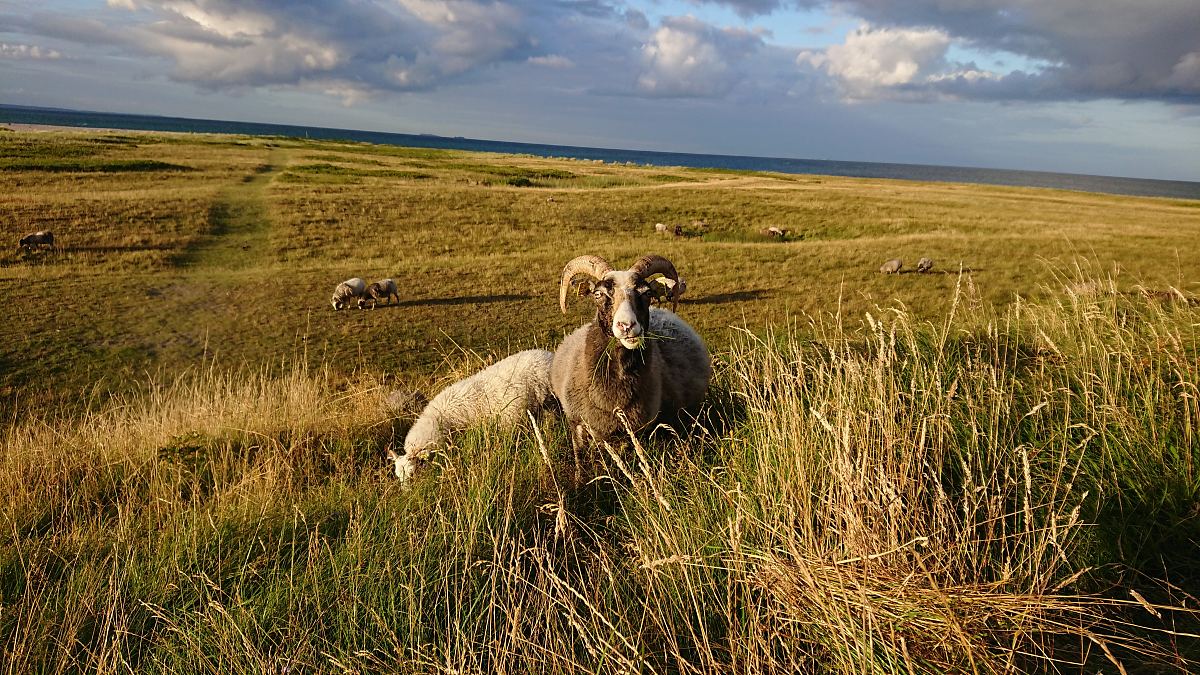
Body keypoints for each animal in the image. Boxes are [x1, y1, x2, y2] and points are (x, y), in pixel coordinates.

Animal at [391, 348, 559, 480]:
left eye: (412, 474)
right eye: (398, 476)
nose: (406, 493)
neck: (439, 418)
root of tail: (548, 355)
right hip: (548, 403)